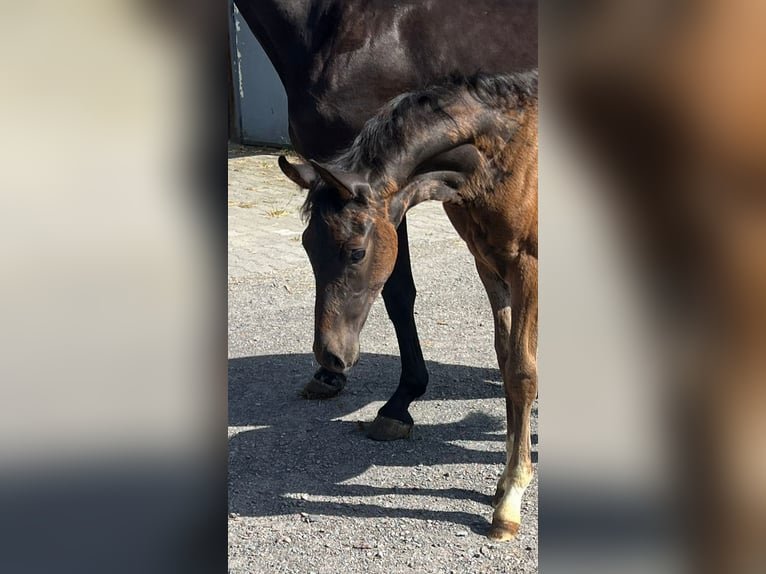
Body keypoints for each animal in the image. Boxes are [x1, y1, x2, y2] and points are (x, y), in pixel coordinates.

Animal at [280, 71, 540, 540]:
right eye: (308, 246)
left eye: (356, 253)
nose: (329, 355)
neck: (508, 151)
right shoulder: (489, 264)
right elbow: (505, 361)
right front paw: (504, 481)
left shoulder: (527, 265)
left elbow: (523, 374)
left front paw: (510, 497)